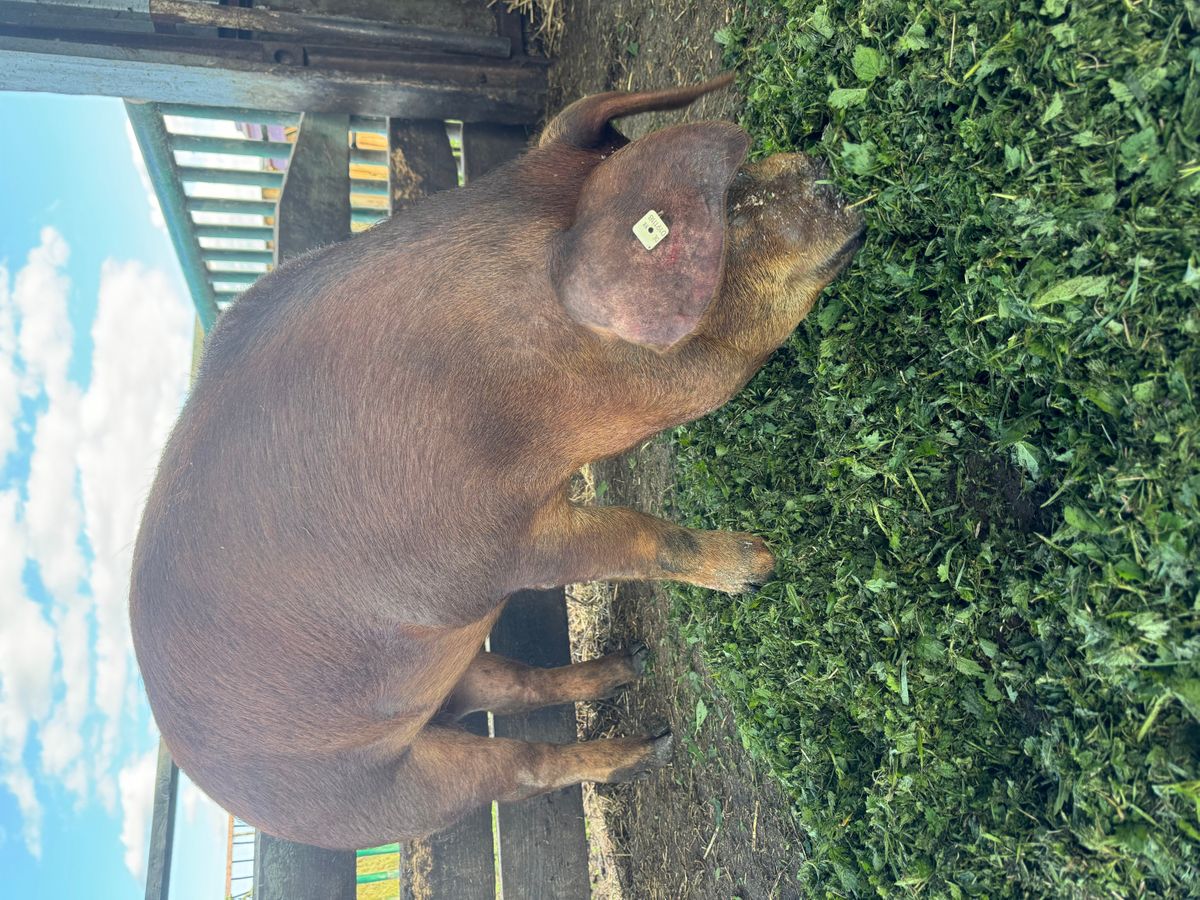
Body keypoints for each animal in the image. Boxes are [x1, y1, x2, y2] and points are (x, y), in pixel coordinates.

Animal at [129, 73, 863, 849]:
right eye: (728, 219)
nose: (824, 172)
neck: (507, 398)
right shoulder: (489, 557)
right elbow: (638, 536)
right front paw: (760, 566)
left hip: (452, 671)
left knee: (514, 682)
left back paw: (627, 665)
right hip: (391, 791)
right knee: (519, 769)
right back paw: (652, 746)